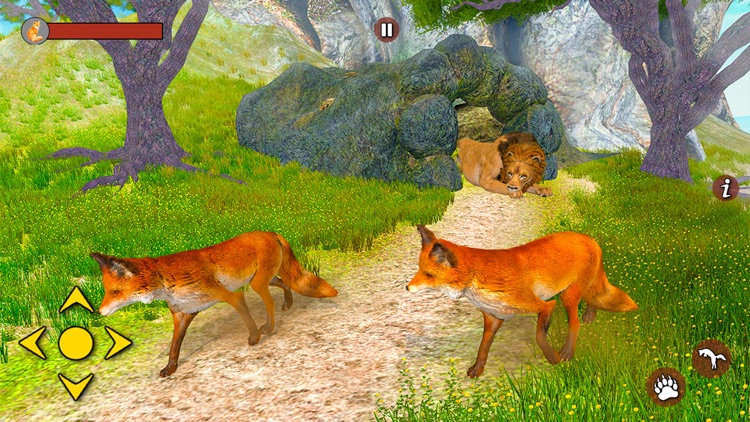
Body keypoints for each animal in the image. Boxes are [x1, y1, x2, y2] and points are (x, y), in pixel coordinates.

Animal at [91, 231, 338, 377]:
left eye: (114, 292)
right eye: (106, 292)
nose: (99, 312)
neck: (166, 281)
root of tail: (270, 232)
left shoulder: (231, 296)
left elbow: (246, 318)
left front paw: (254, 338)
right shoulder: (184, 313)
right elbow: (174, 347)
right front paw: (171, 368)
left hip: (257, 284)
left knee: (270, 300)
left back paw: (268, 327)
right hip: (262, 280)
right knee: (284, 284)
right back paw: (287, 304)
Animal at [406, 225, 637, 378]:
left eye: (428, 275)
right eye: (418, 270)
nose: (407, 288)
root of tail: (590, 238)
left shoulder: (545, 306)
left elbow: (539, 336)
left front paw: (553, 358)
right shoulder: (494, 317)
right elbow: (482, 348)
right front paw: (477, 369)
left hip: (567, 297)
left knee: (576, 322)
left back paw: (568, 352)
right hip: (576, 290)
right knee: (592, 299)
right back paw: (590, 315)